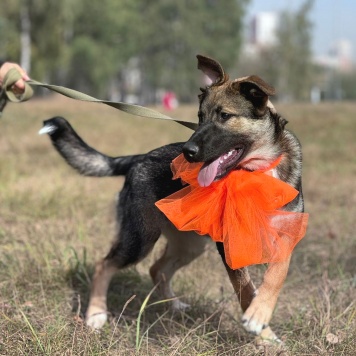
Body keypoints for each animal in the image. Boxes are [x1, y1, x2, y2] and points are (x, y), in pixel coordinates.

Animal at [39, 55, 306, 342]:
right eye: (199, 117)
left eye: (225, 116)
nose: (187, 152)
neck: (259, 171)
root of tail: (138, 158)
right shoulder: (230, 246)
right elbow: (246, 291)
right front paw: (262, 331)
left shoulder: (286, 238)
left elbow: (275, 276)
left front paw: (261, 317)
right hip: (140, 238)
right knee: (104, 265)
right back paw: (97, 314)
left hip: (189, 244)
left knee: (157, 269)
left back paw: (174, 305)